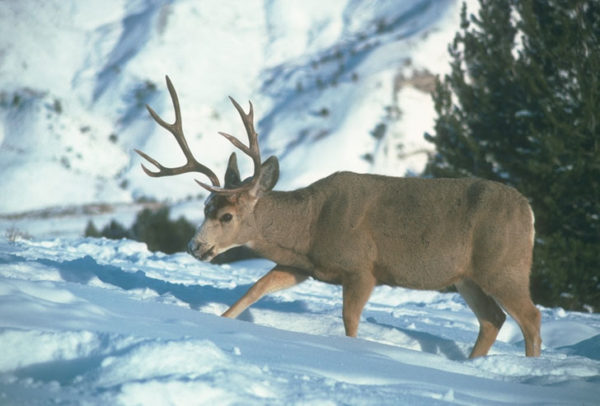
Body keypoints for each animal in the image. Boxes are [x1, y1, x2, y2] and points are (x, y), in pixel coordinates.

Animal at [137, 74, 544, 356]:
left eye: (227, 217)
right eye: (205, 207)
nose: (194, 246)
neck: (309, 227)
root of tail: (529, 210)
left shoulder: (361, 268)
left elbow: (350, 321)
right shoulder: (301, 266)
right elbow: (254, 290)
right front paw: (218, 322)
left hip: (504, 266)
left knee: (530, 317)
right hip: (467, 277)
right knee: (493, 319)